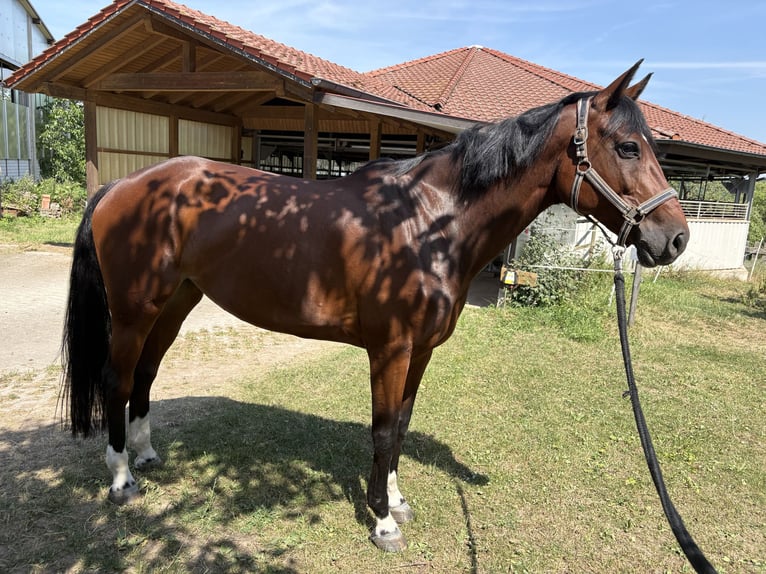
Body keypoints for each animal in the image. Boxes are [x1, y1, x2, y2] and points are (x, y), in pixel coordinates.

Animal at [61, 61, 688, 552]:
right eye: (628, 147)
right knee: (118, 380)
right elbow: (384, 431)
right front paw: (384, 524)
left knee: (146, 375)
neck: (429, 222)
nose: (675, 239)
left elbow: (402, 427)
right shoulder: (390, 350)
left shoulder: (421, 351)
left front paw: (392, 497)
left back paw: (146, 455)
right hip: (136, 310)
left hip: (176, 302)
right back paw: (121, 480)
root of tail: (122, 185)